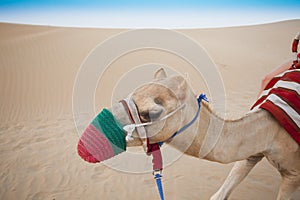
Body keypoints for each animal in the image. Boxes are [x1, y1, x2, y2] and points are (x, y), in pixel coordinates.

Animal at [110, 68, 300, 199]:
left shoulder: (293, 174)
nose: (104, 124)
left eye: (152, 113)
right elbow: (219, 195)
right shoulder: (251, 154)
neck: (271, 131)